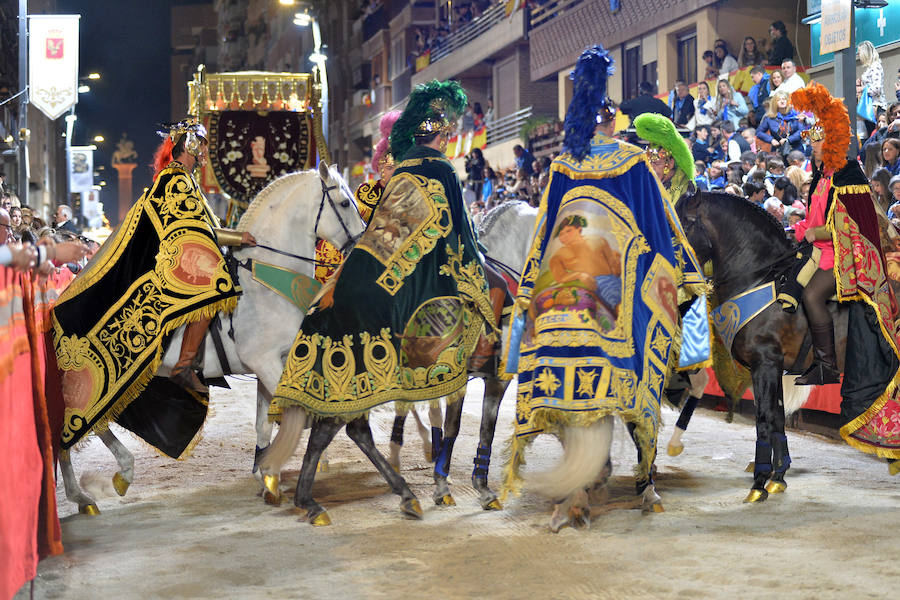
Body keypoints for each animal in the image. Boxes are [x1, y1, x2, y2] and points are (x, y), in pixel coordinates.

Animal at [59, 164, 366, 516]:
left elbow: (265, 422)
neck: (266, 278)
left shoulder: (271, 363)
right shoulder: (264, 362)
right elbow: (297, 414)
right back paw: (84, 495)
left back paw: (120, 474)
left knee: (96, 426)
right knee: (64, 439)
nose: (361, 242)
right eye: (344, 203)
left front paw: (267, 476)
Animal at [676, 191, 852, 502]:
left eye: (685, 222)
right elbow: (777, 419)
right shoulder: (774, 369)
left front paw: (759, 483)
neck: (760, 277)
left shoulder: (765, 365)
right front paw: (778, 477)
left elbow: (764, 419)